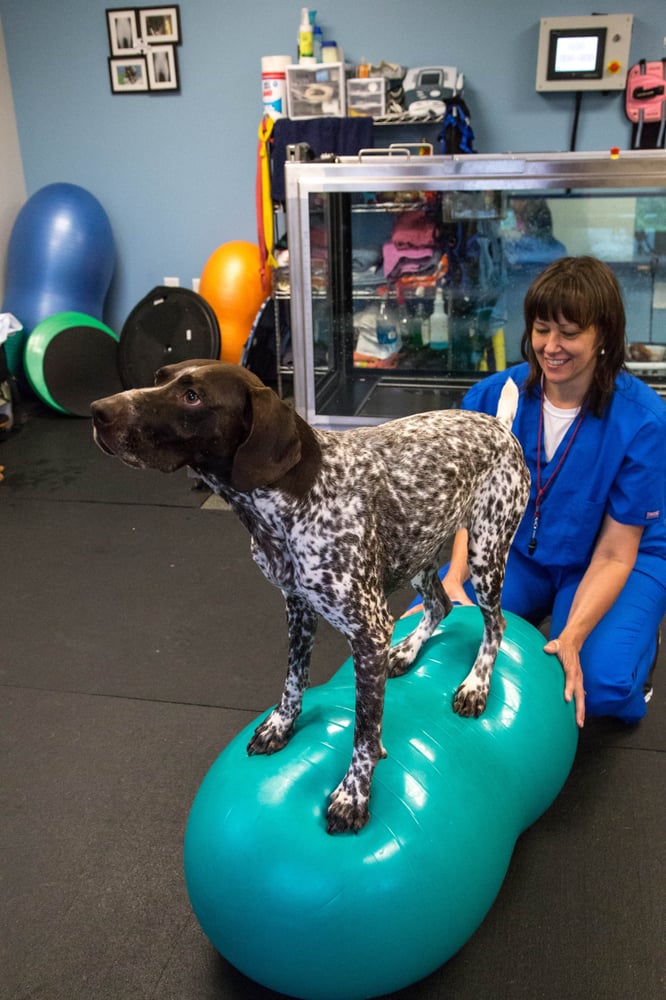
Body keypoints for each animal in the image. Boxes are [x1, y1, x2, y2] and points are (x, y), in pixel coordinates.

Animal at [92, 360, 528, 836]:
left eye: (193, 396)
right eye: (159, 376)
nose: (97, 411)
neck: (285, 504)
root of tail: (499, 425)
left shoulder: (368, 633)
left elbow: (365, 733)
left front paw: (353, 796)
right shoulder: (298, 608)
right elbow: (293, 681)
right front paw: (280, 727)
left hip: (486, 553)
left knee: (495, 624)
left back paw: (476, 684)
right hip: (420, 556)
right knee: (440, 604)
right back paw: (408, 652)